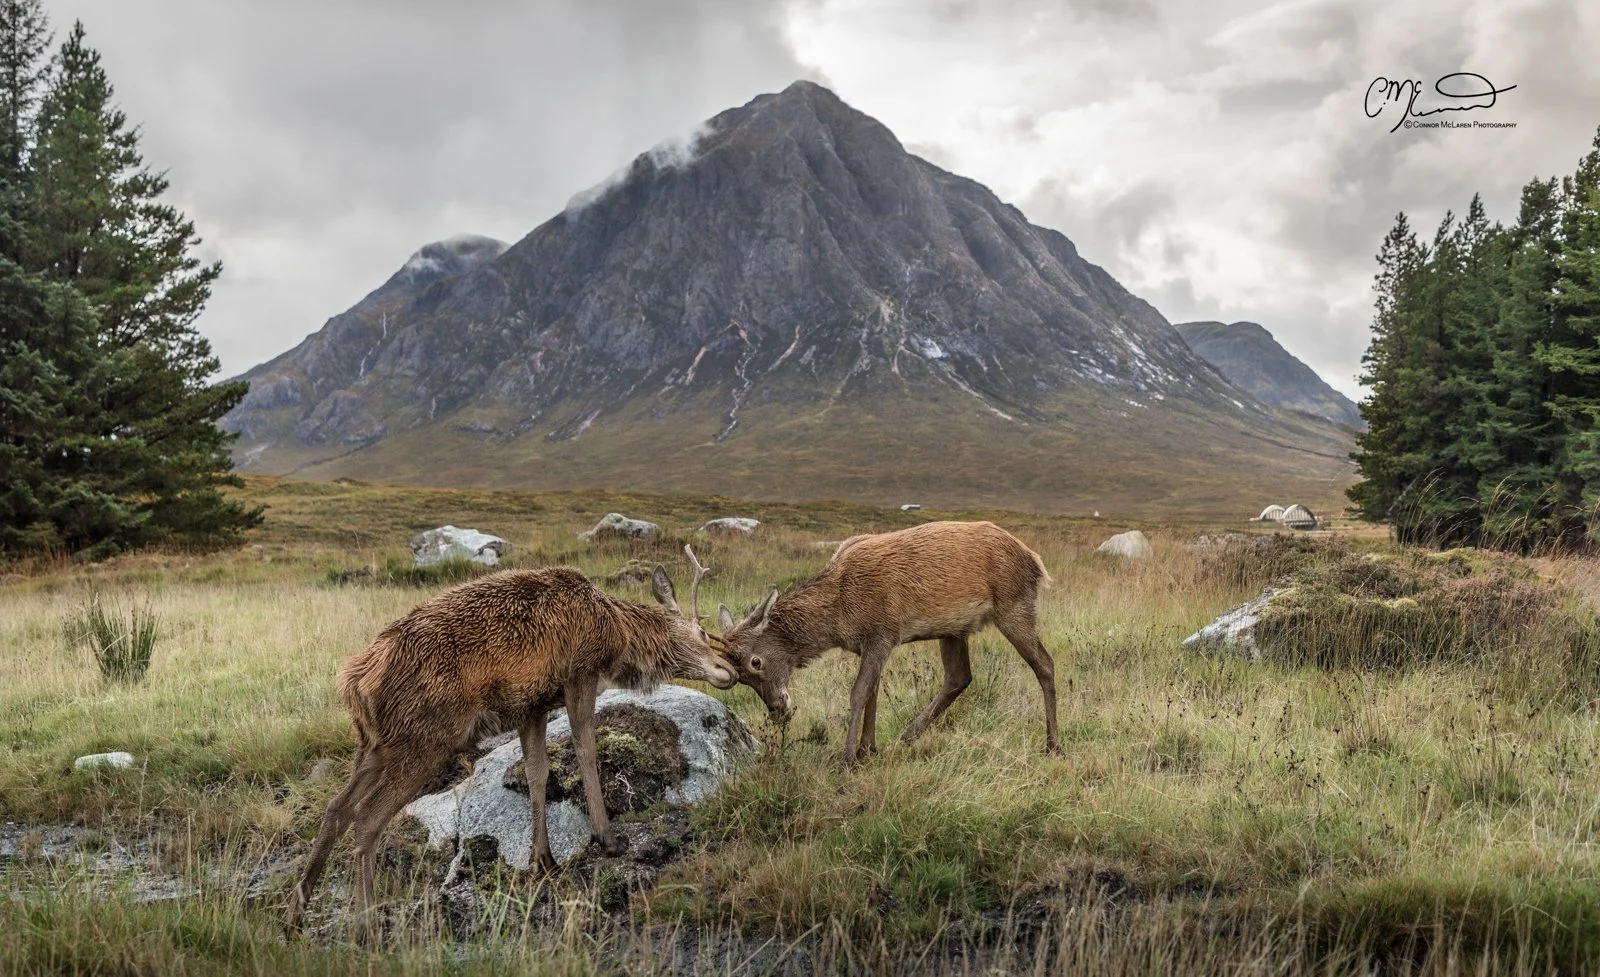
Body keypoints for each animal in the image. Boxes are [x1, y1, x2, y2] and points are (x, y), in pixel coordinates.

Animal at [284, 551, 734, 932]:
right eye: (700, 632)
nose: (727, 670)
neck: (616, 637)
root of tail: (355, 683)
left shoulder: (533, 705)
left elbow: (537, 771)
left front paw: (544, 860)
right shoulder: (579, 673)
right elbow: (585, 750)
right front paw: (608, 840)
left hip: (373, 743)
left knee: (336, 807)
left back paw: (294, 917)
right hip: (425, 737)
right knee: (366, 816)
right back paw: (367, 928)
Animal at [713, 521, 1057, 767]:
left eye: (755, 661)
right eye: (741, 679)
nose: (778, 710)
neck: (838, 616)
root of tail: (1036, 561)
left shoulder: (882, 633)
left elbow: (858, 693)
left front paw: (848, 757)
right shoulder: (872, 644)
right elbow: (873, 693)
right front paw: (869, 749)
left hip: (1014, 607)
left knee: (1045, 664)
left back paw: (1052, 744)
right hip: (954, 628)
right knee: (959, 676)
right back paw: (909, 734)